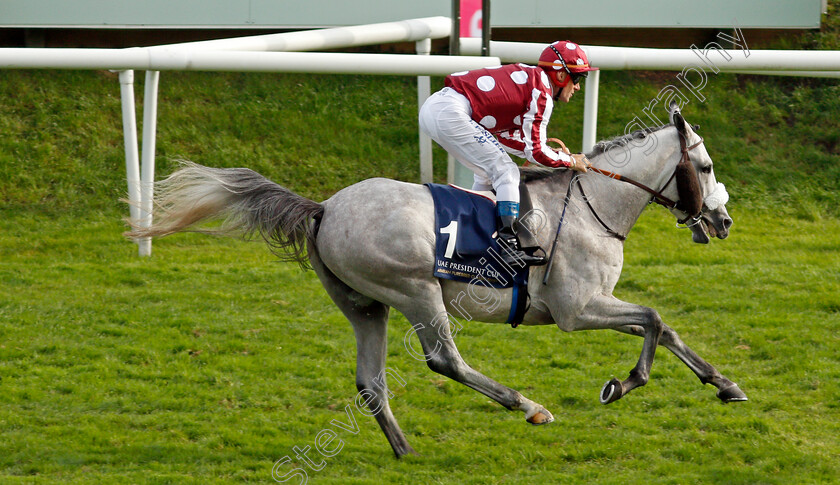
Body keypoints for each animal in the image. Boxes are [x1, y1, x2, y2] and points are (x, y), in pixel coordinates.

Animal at [130, 104, 748, 456]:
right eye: (707, 167)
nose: (722, 221)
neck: (595, 204)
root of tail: (324, 207)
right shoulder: (577, 310)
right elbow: (654, 318)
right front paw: (623, 383)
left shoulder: (594, 302)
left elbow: (663, 328)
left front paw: (725, 385)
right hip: (416, 290)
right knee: (444, 360)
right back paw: (528, 406)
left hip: (366, 306)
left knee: (370, 382)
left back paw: (405, 451)